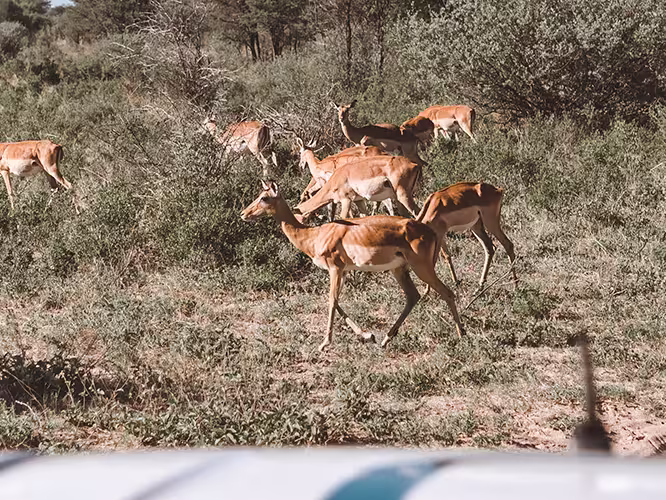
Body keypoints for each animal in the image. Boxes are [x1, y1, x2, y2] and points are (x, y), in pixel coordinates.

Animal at [241, 180, 464, 351]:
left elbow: (332, 301)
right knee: (413, 296)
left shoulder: (335, 269)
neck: (315, 236)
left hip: (421, 268)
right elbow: (338, 302)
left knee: (447, 292)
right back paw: (385, 339)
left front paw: (324, 344)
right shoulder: (345, 271)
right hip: (399, 269)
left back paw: (461, 334)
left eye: (264, 197)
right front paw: (368, 335)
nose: (244, 213)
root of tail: (429, 231)